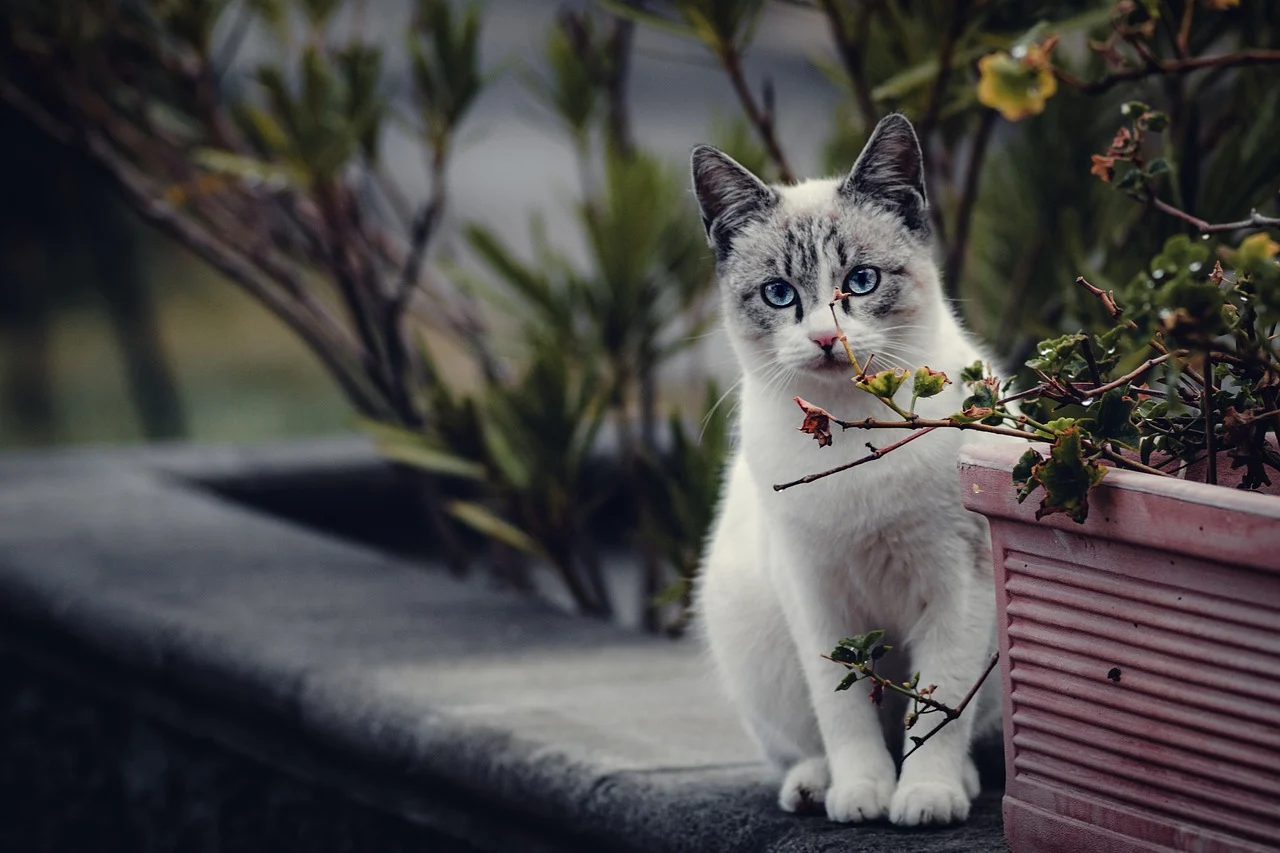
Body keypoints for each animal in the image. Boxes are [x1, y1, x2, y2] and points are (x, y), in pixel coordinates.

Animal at [696, 112, 1003, 824]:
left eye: (860, 282)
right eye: (779, 294)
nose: (825, 338)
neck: (851, 434)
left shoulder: (959, 579)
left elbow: (939, 706)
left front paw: (925, 796)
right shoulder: (814, 592)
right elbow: (843, 710)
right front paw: (863, 792)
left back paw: (960, 783)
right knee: (806, 740)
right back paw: (815, 786)